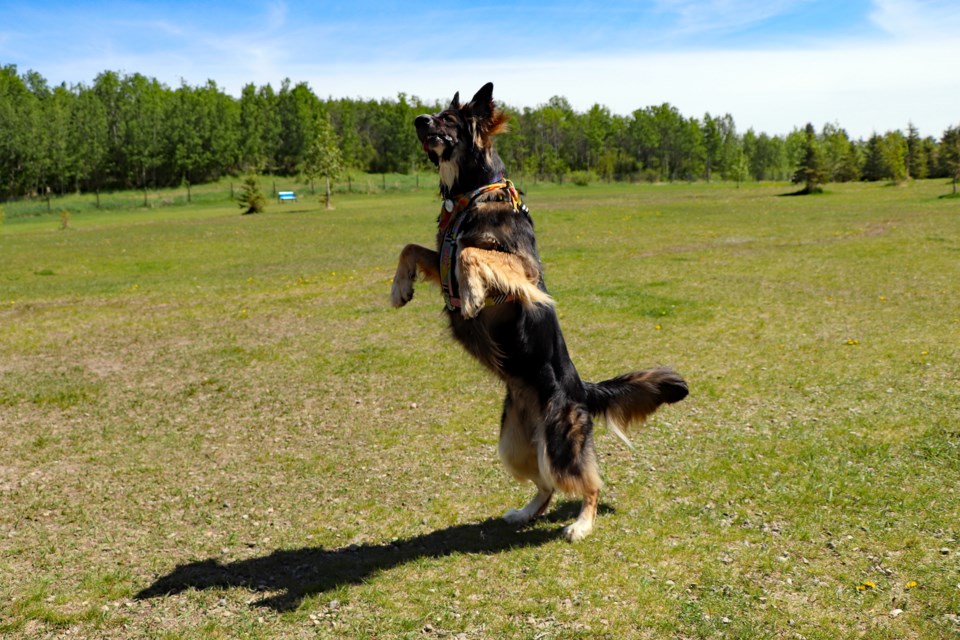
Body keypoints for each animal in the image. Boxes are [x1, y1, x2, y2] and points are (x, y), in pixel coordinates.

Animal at [392, 82, 688, 544]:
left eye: (448, 119)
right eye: (434, 113)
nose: (417, 120)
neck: (470, 194)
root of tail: (582, 389)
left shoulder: (524, 272)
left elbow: (472, 253)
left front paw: (472, 295)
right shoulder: (440, 255)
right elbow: (412, 248)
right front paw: (400, 287)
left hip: (560, 442)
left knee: (589, 484)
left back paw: (582, 524)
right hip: (514, 446)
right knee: (546, 484)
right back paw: (525, 511)